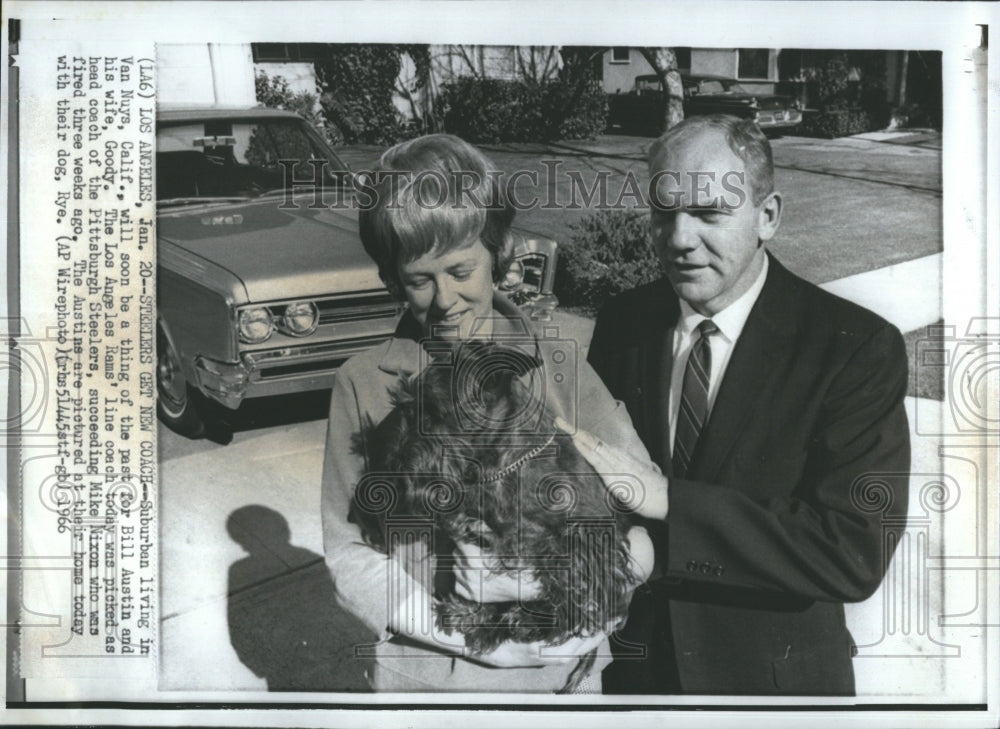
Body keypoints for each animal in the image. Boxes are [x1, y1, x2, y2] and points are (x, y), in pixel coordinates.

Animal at [350, 342, 632, 688]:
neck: (502, 467)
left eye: (434, 410)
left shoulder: (582, 540)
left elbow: (573, 592)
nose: (387, 463)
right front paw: (471, 615)